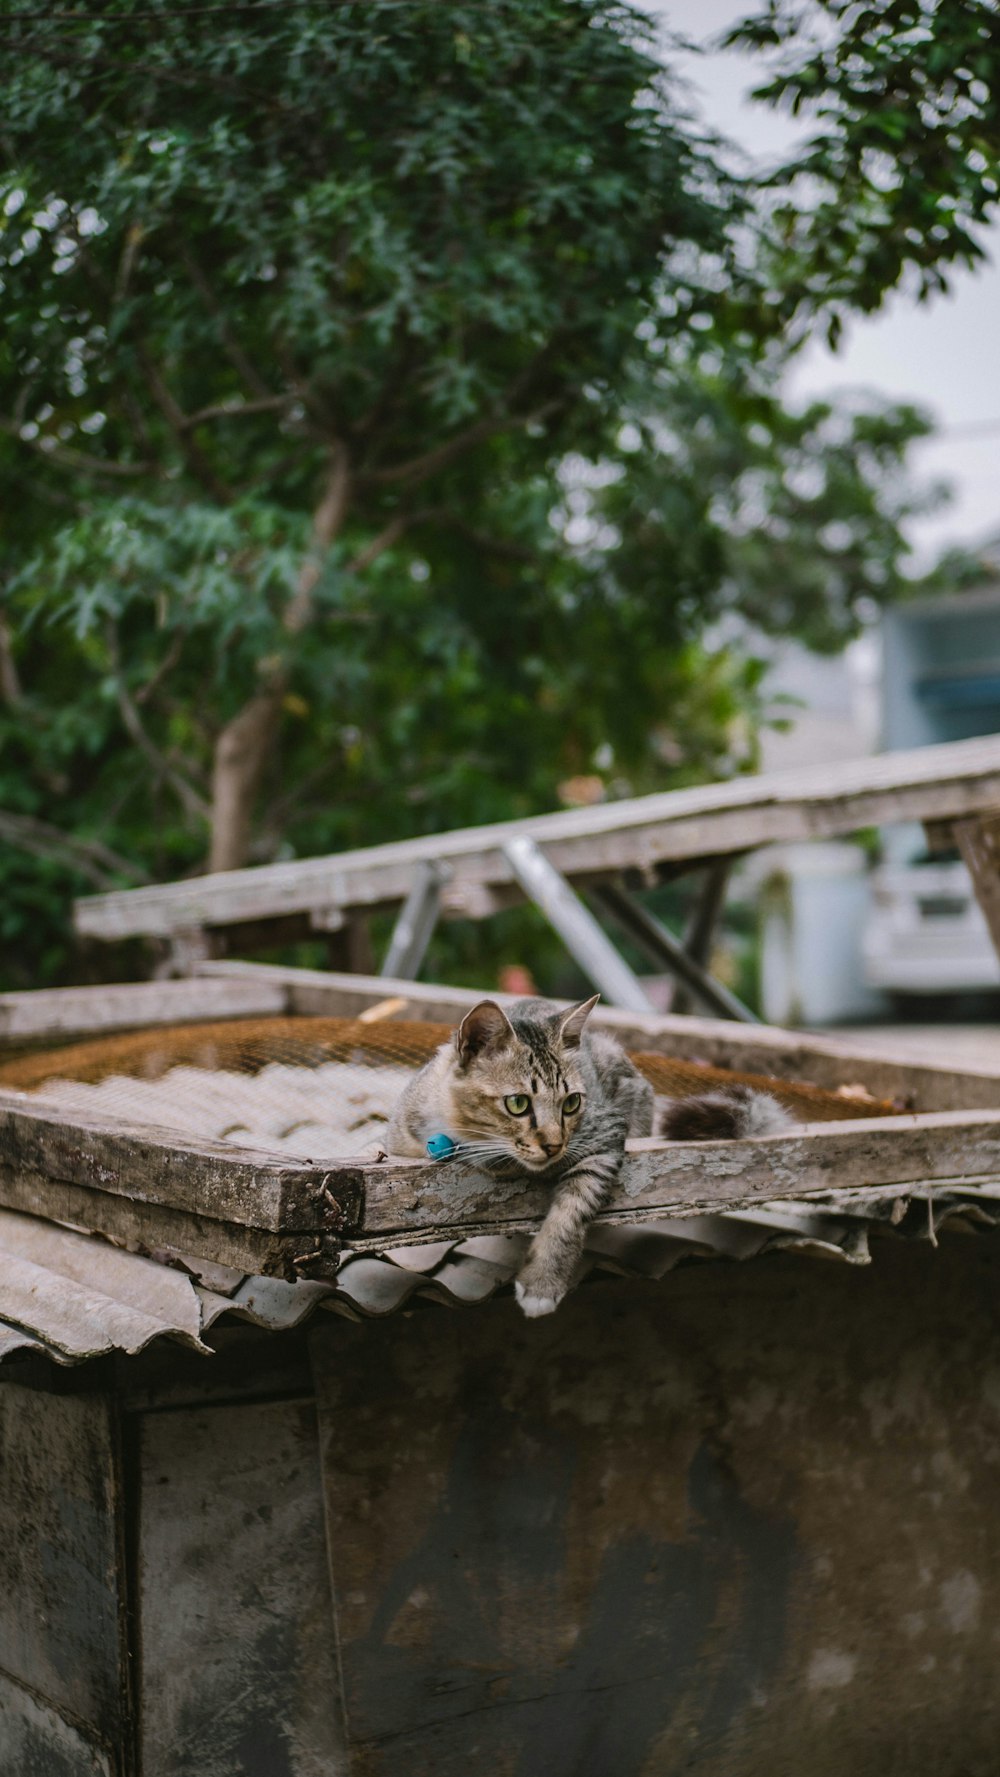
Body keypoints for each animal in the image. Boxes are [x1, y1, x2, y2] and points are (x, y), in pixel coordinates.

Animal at [387, 995, 795, 1314]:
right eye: (518, 1103)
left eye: (571, 1103)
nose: (554, 1145)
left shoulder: (605, 1135)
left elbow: (570, 1210)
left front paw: (542, 1283)